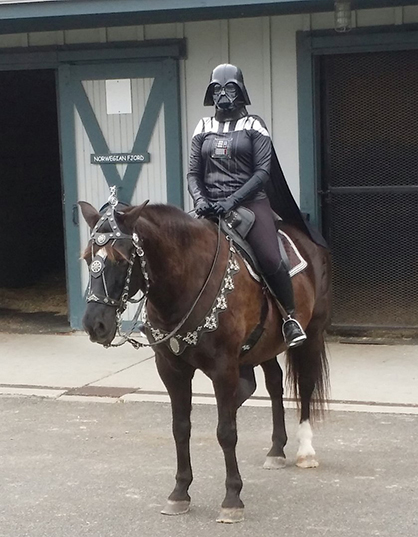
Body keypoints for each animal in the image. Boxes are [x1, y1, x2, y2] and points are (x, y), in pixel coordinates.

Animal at [80, 199, 332, 520]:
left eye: (122, 259)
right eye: (88, 258)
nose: (95, 324)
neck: (186, 282)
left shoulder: (223, 369)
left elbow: (226, 432)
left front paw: (232, 498)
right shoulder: (171, 369)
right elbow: (180, 428)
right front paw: (179, 493)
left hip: (311, 335)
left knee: (307, 385)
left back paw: (305, 451)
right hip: (264, 345)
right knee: (275, 384)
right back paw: (276, 450)